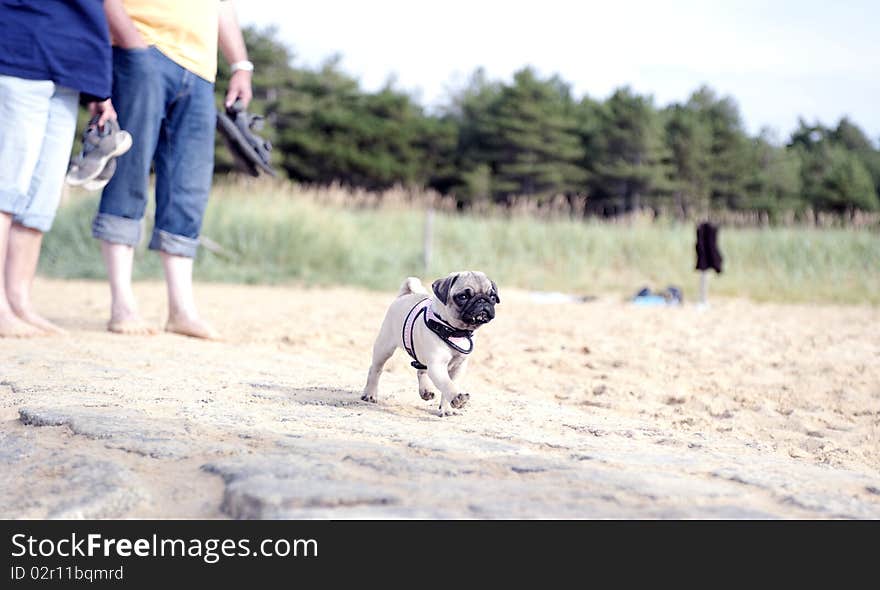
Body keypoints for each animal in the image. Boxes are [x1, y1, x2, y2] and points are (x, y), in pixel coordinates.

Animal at [360, 272, 498, 416]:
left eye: (493, 297)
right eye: (463, 297)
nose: (482, 300)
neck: (455, 331)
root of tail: (404, 295)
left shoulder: (458, 367)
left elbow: (450, 384)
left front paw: (446, 408)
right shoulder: (437, 365)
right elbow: (447, 384)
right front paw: (457, 398)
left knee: (421, 370)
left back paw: (425, 390)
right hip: (385, 347)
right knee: (376, 369)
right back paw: (369, 394)